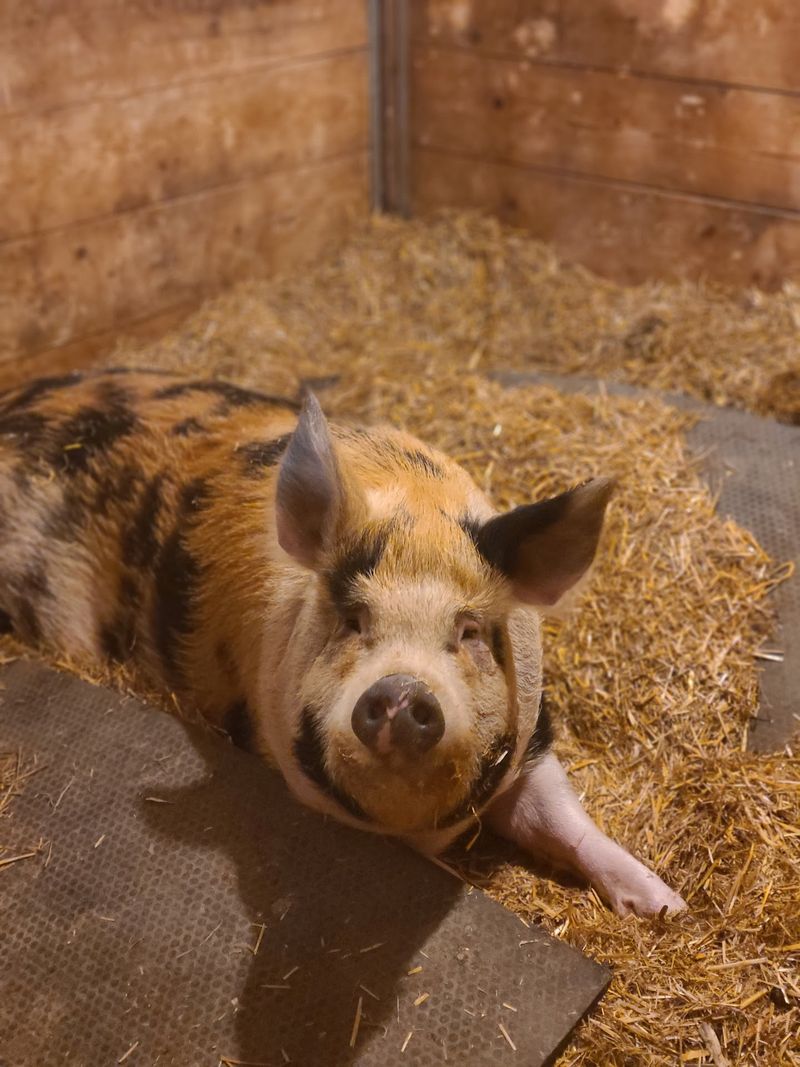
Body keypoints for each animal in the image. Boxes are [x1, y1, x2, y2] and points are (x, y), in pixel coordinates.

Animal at [0, 369, 685, 917]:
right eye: (354, 619)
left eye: (469, 631)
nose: (404, 690)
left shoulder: (531, 737)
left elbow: (565, 820)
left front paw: (664, 910)